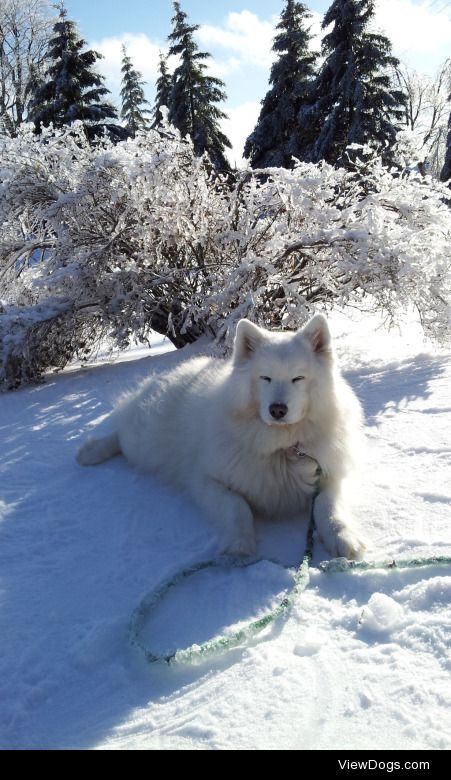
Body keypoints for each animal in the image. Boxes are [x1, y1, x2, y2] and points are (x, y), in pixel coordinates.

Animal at [77, 316, 368, 560]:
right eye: (265, 378)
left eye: (298, 378)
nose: (277, 409)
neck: (282, 447)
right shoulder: (207, 480)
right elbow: (236, 506)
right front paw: (238, 543)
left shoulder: (328, 475)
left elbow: (328, 507)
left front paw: (342, 538)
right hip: (146, 442)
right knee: (120, 435)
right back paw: (90, 453)